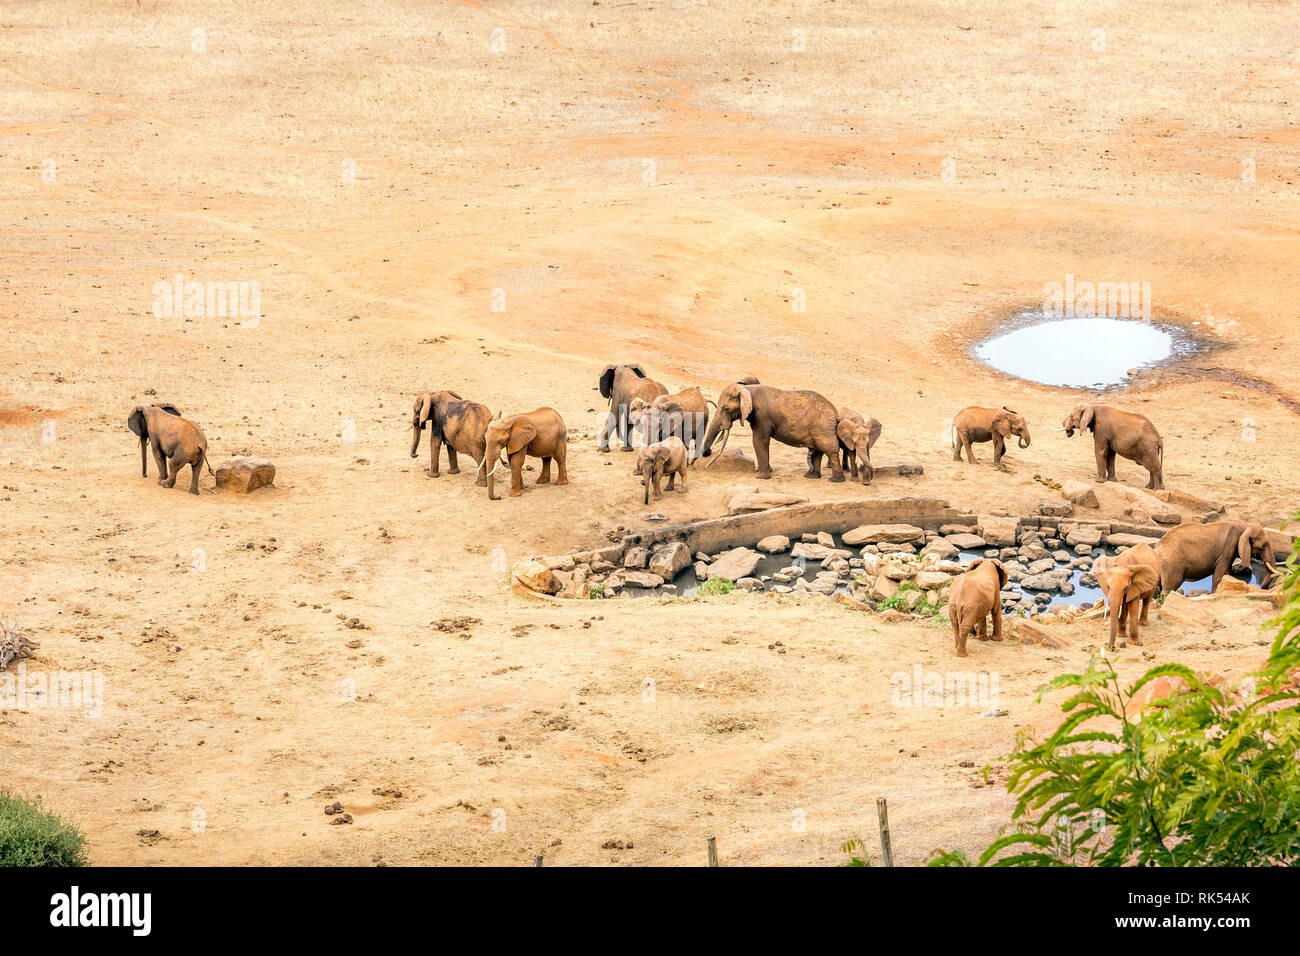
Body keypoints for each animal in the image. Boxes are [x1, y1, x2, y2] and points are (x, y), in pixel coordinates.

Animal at [702, 379, 842, 478]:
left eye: (726, 409)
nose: (708, 453)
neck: (747, 389)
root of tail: (836, 414)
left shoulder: (762, 416)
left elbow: (759, 440)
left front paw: (761, 476)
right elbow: (762, 441)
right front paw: (766, 471)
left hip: (823, 427)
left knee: (830, 450)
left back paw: (835, 480)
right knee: (818, 450)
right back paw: (810, 476)